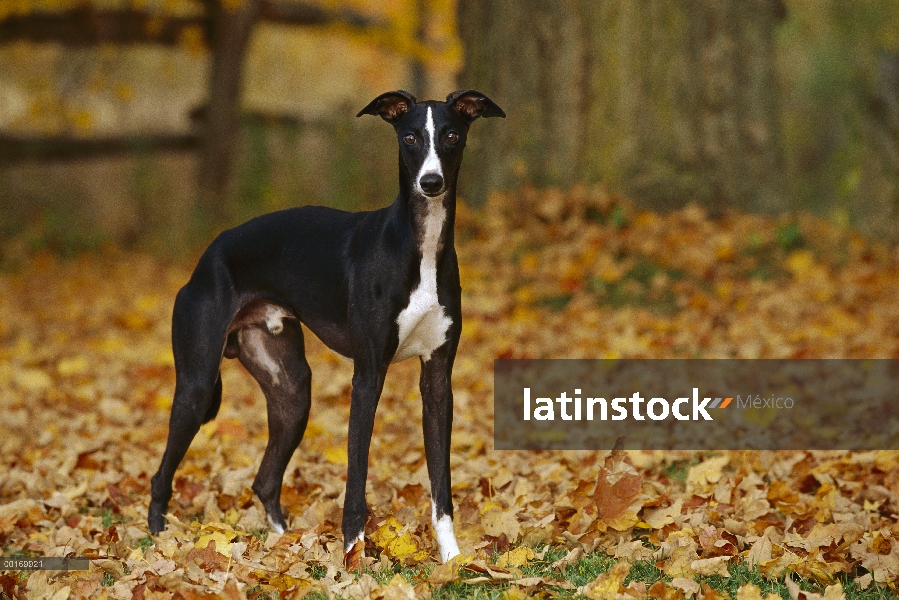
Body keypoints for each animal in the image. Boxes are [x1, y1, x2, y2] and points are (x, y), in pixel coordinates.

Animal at [151, 88, 510, 564]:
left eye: (452, 135)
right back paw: (156, 540)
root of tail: (206, 257)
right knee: (161, 475)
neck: (418, 248)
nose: (431, 183)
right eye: (411, 137)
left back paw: (283, 544)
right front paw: (354, 553)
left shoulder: (437, 379)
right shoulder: (368, 376)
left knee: (265, 480)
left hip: (292, 391)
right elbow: (356, 477)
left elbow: (441, 482)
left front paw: (451, 559)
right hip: (196, 385)